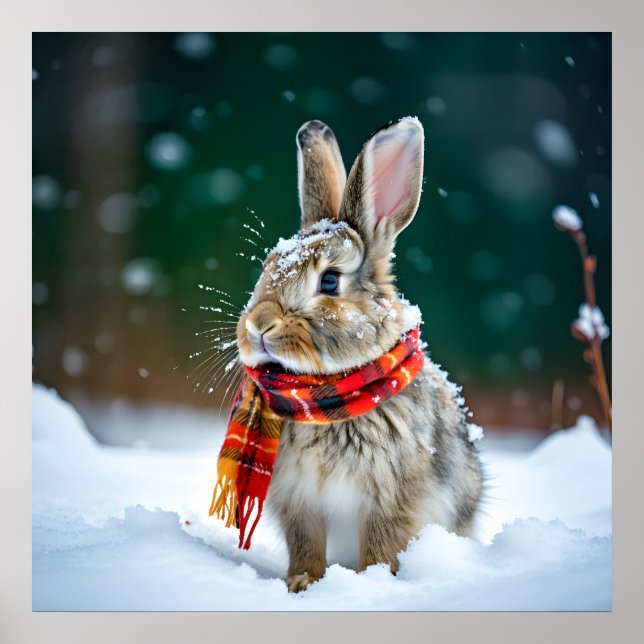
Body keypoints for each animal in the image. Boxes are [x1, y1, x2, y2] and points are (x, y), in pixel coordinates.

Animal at [235, 117, 484, 592]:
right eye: (267, 267)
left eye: (330, 281)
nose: (258, 326)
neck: (325, 395)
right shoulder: (299, 500)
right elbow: (306, 545)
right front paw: (301, 584)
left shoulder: (390, 498)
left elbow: (382, 545)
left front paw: (372, 583)